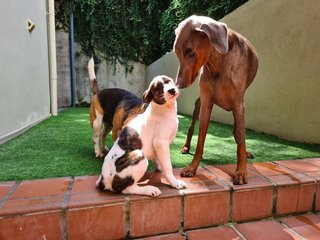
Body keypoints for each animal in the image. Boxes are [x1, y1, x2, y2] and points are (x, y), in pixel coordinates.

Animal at [174, 15, 258, 184]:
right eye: (176, 53)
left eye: (190, 52)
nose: (177, 85)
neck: (218, 62)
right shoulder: (206, 102)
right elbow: (200, 140)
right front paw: (192, 168)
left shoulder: (239, 105)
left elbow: (241, 139)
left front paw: (241, 171)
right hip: (198, 103)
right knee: (191, 127)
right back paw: (186, 147)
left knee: (238, 133)